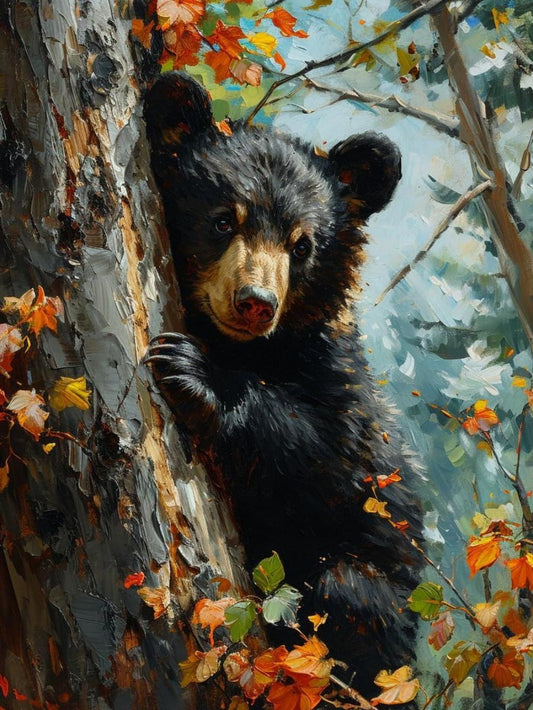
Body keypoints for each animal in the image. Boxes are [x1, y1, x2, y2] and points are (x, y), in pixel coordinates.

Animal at [144, 71, 424, 701]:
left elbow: (330, 461)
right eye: (224, 219)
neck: (249, 347)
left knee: (351, 593)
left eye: (302, 245)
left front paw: (193, 370)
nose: (256, 302)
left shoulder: (339, 380)